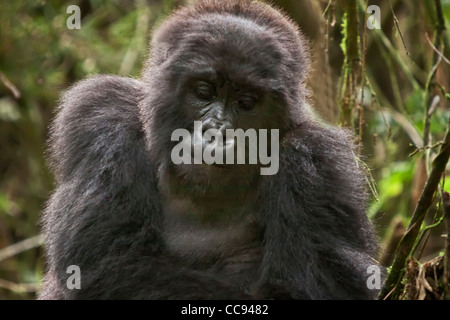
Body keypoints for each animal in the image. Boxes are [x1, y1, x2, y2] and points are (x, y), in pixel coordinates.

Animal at [38, 0, 382, 300]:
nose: (217, 133)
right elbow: (103, 263)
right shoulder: (104, 114)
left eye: (246, 103)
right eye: (203, 92)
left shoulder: (316, 161)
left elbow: (313, 290)